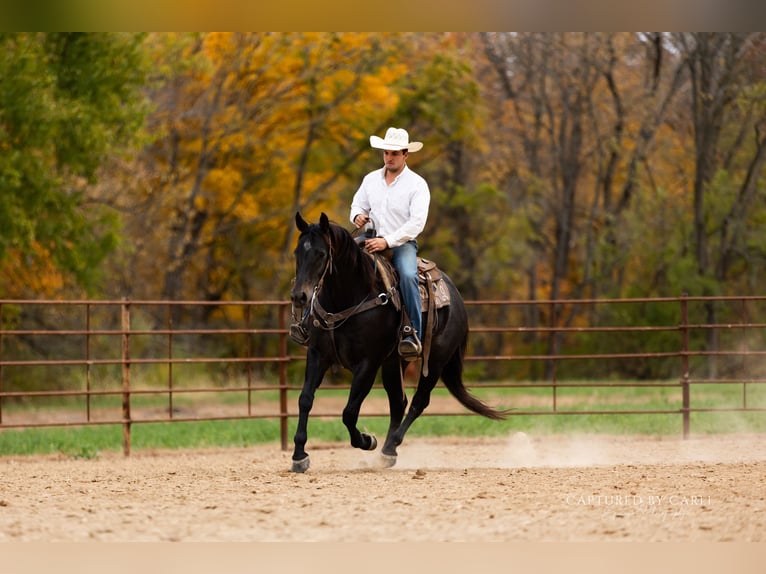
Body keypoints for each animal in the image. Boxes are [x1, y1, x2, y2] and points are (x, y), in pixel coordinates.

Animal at [288, 212, 508, 472]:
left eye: (321, 254)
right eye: (297, 252)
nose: (299, 296)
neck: (347, 298)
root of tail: (456, 297)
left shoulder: (368, 364)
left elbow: (349, 412)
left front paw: (367, 440)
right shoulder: (318, 355)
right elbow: (305, 400)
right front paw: (299, 455)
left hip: (435, 362)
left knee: (418, 402)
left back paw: (389, 448)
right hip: (395, 363)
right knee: (398, 401)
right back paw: (388, 451)